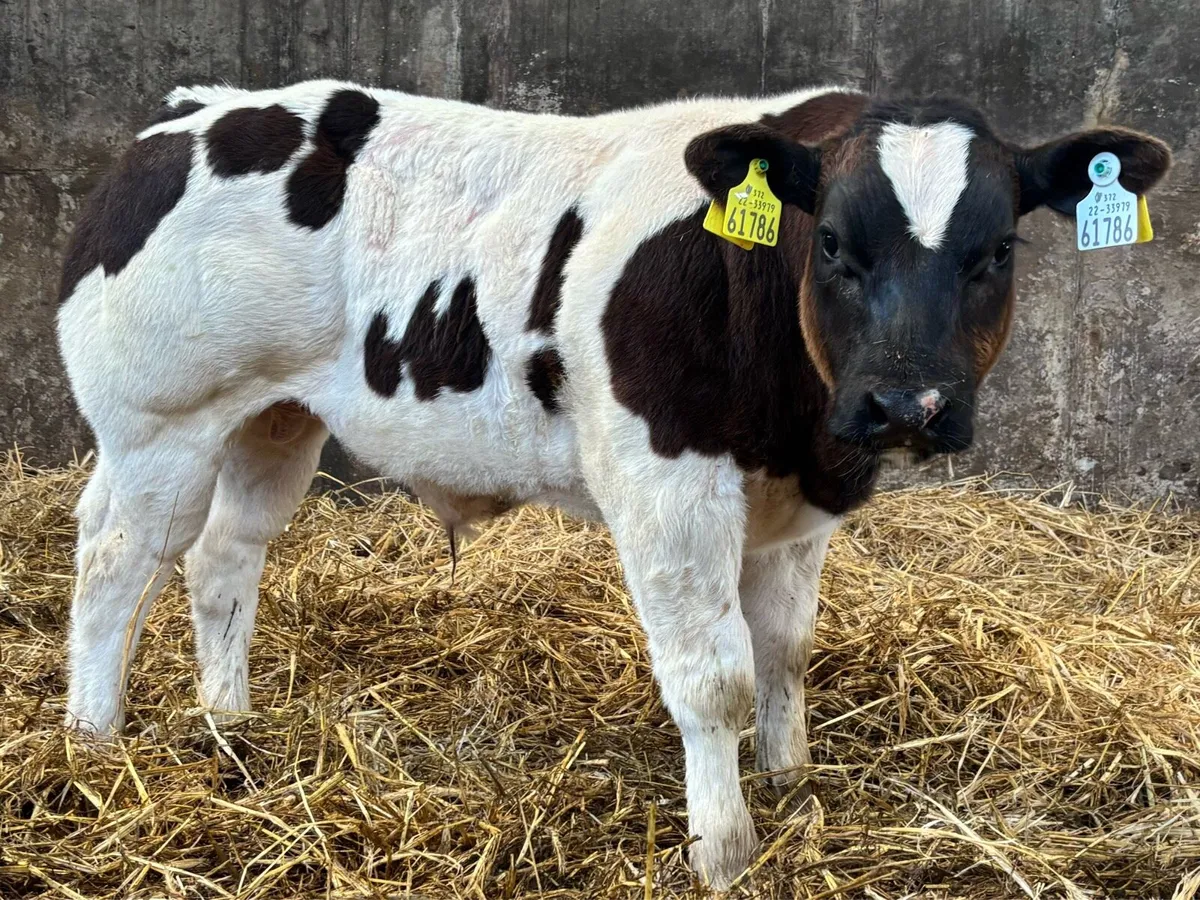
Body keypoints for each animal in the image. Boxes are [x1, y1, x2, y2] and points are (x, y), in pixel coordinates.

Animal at [56, 79, 1170, 887]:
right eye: (833, 242)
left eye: (998, 250)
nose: (906, 405)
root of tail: (192, 112)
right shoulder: (667, 488)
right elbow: (716, 678)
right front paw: (724, 851)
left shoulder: (796, 507)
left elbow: (785, 652)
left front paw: (792, 783)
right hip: (158, 425)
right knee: (113, 561)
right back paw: (93, 741)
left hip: (272, 417)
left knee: (222, 557)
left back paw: (229, 724)